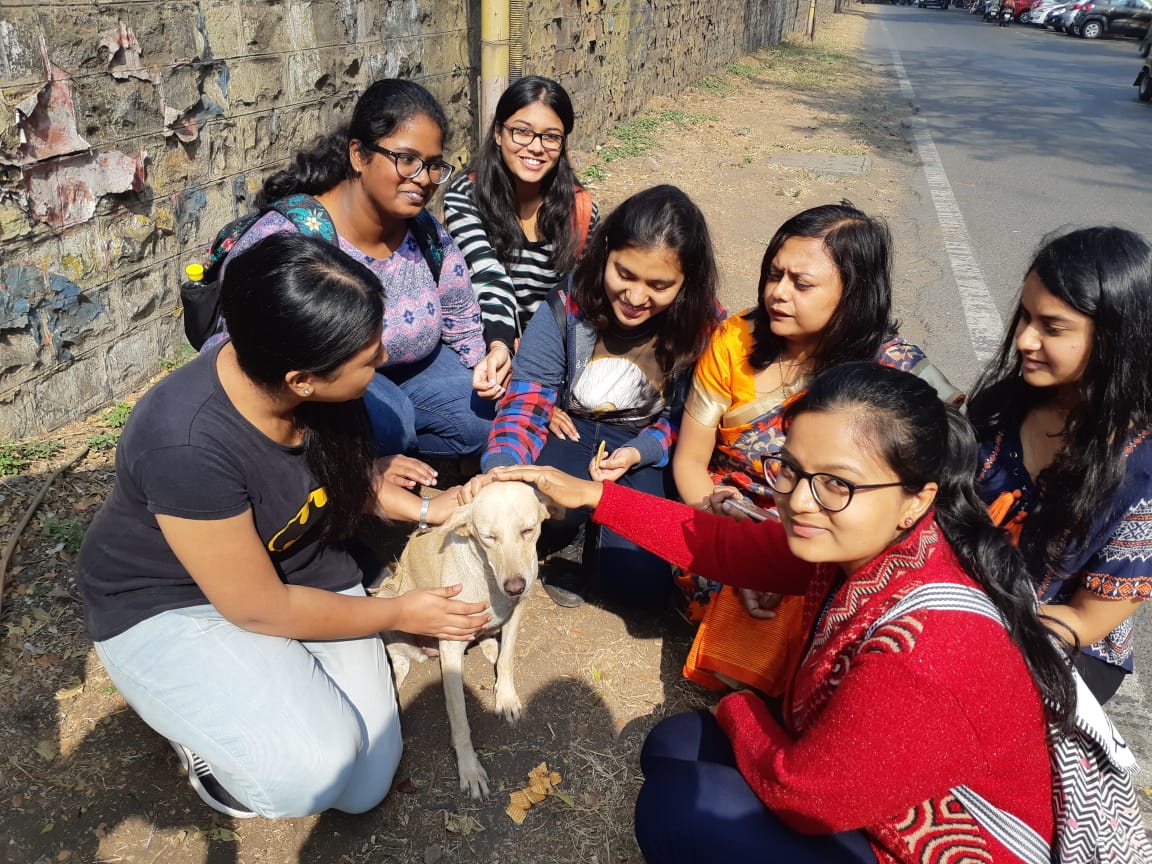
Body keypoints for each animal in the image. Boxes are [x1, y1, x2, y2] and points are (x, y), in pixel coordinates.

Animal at [377, 481, 548, 797]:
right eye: (488, 537)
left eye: (528, 531)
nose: (515, 586)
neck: (488, 578)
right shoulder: (451, 647)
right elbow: (460, 719)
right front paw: (470, 769)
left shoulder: (516, 611)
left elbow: (507, 660)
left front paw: (506, 697)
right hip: (387, 598)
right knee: (399, 665)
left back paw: (490, 644)